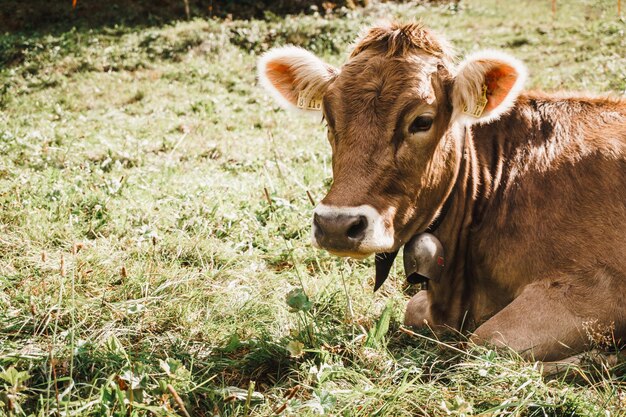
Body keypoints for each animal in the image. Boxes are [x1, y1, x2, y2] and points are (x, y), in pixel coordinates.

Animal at [255, 22, 624, 360]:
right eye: (330, 119)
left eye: (422, 121)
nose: (335, 226)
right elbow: (414, 310)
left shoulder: (598, 288)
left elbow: (490, 340)